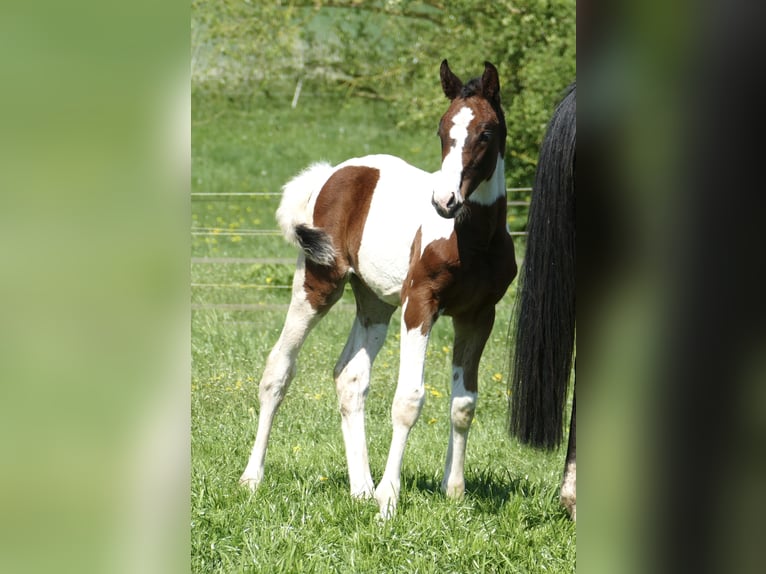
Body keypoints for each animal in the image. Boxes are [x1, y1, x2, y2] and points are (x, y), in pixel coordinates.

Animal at [239, 60, 516, 519]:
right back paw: (252, 477)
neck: (472, 239)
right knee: (279, 368)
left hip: (374, 303)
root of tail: (333, 172)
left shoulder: (478, 314)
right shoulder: (419, 304)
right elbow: (408, 400)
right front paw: (389, 498)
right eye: (442, 130)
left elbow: (464, 403)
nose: (445, 201)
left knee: (349, 378)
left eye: (486, 133)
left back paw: (360, 488)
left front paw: (453, 491)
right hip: (318, 284)